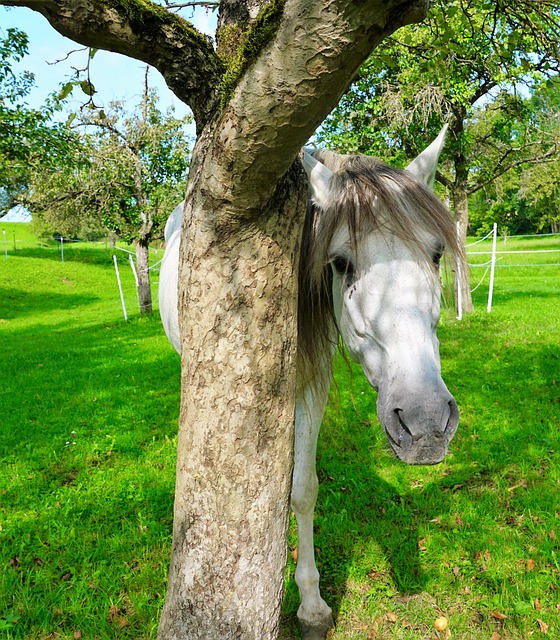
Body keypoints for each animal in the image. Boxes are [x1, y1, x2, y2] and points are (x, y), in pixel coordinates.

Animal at [158, 127, 460, 636]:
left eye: (436, 253)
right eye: (339, 262)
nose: (426, 424)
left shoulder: (312, 386)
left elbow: (303, 490)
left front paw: (311, 605)